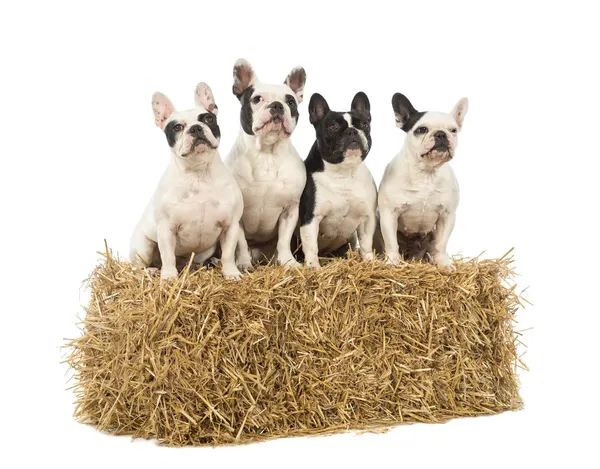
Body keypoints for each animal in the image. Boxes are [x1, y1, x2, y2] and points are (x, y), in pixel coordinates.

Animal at [129, 82, 246, 280]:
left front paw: (231, 273)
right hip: (143, 247)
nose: (196, 128)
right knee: (138, 266)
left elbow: (229, 254)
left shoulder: (230, 226)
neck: (198, 173)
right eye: (177, 127)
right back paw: (152, 270)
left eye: (208, 119)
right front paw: (169, 277)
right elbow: (168, 256)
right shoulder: (167, 229)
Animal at [298, 91, 378, 268]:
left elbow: (366, 243)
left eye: (364, 125)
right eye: (333, 126)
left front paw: (369, 261)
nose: (352, 131)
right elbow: (311, 246)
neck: (344, 173)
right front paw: (314, 268)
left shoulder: (366, 217)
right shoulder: (311, 218)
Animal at [378, 92, 466, 266]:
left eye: (453, 130)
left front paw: (444, 264)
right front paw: (392, 263)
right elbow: (391, 243)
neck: (426, 172)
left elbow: (441, 244)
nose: (441, 133)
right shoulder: (389, 214)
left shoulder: (447, 215)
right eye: (422, 129)